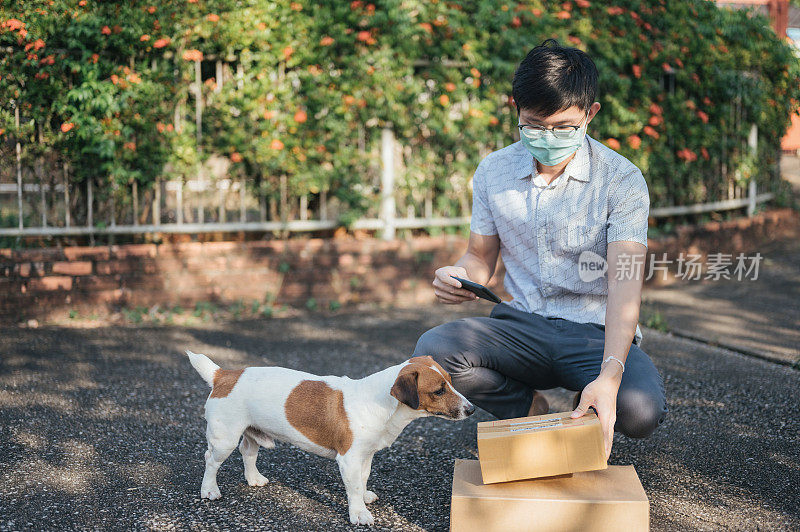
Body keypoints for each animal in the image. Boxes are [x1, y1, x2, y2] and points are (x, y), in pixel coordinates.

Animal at [188, 352, 476, 524]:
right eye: (438, 391)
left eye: (451, 382)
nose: (472, 410)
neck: (381, 403)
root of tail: (224, 375)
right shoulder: (349, 459)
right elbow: (354, 487)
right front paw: (359, 513)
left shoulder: (365, 456)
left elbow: (362, 480)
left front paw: (363, 498)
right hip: (224, 439)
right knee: (210, 460)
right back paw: (209, 490)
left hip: (252, 433)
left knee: (248, 451)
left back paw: (254, 479)